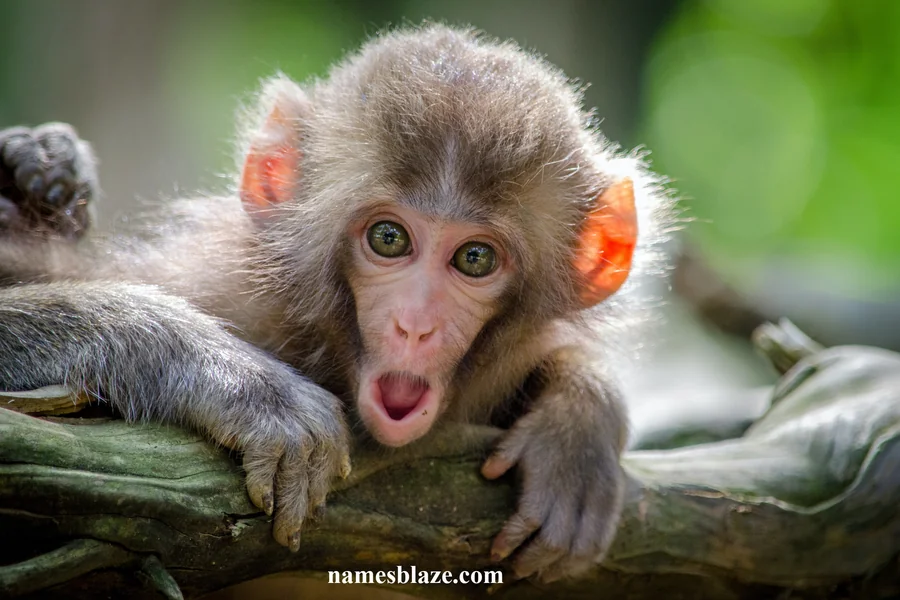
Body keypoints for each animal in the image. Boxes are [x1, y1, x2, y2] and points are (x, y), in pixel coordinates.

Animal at [0, 25, 673, 582]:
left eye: (475, 259)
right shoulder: (217, 284)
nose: (415, 325)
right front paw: (240, 383)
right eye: (389, 239)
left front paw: (578, 425)